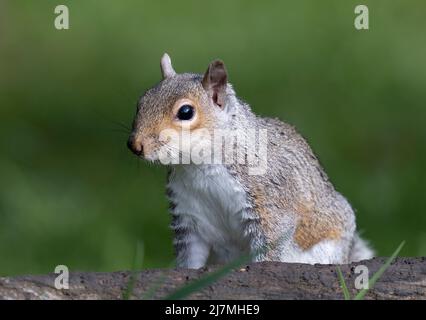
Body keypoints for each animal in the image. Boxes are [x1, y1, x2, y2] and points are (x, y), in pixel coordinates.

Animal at [126, 53, 372, 268]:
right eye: (141, 102)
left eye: (186, 112)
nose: (135, 145)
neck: (200, 168)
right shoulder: (189, 215)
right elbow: (190, 258)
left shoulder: (269, 203)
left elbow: (270, 246)